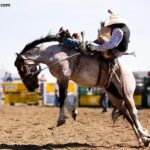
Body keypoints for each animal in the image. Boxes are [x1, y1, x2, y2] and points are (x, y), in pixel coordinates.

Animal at [14, 27, 150, 146]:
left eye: (21, 68)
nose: (30, 87)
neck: (53, 53)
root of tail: (128, 71)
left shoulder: (64, 77)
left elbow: (62, 97)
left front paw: (61, 119)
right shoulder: (61, 79)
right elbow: (65, 98)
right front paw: (73, 113)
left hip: (126, 92)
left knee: (134, 113)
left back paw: (144, 135)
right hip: (115, 97)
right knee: (128, 116)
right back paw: (142, 140)